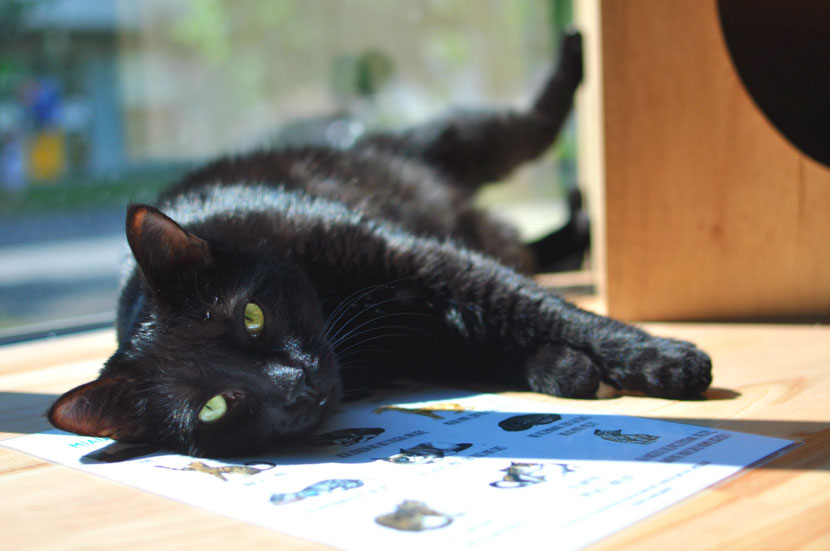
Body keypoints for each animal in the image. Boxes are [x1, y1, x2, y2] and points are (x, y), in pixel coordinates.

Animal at [45, 32, 712, 460]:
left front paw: (666, 359)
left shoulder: (420, 258)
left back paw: (572, 53)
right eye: (214, 407)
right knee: (530, 251)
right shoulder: (427, 328)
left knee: (527, 131)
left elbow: (540, 308)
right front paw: (566, 364)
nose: (296, 385)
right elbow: (504, 324)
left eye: (251, 316)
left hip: (452, 142)